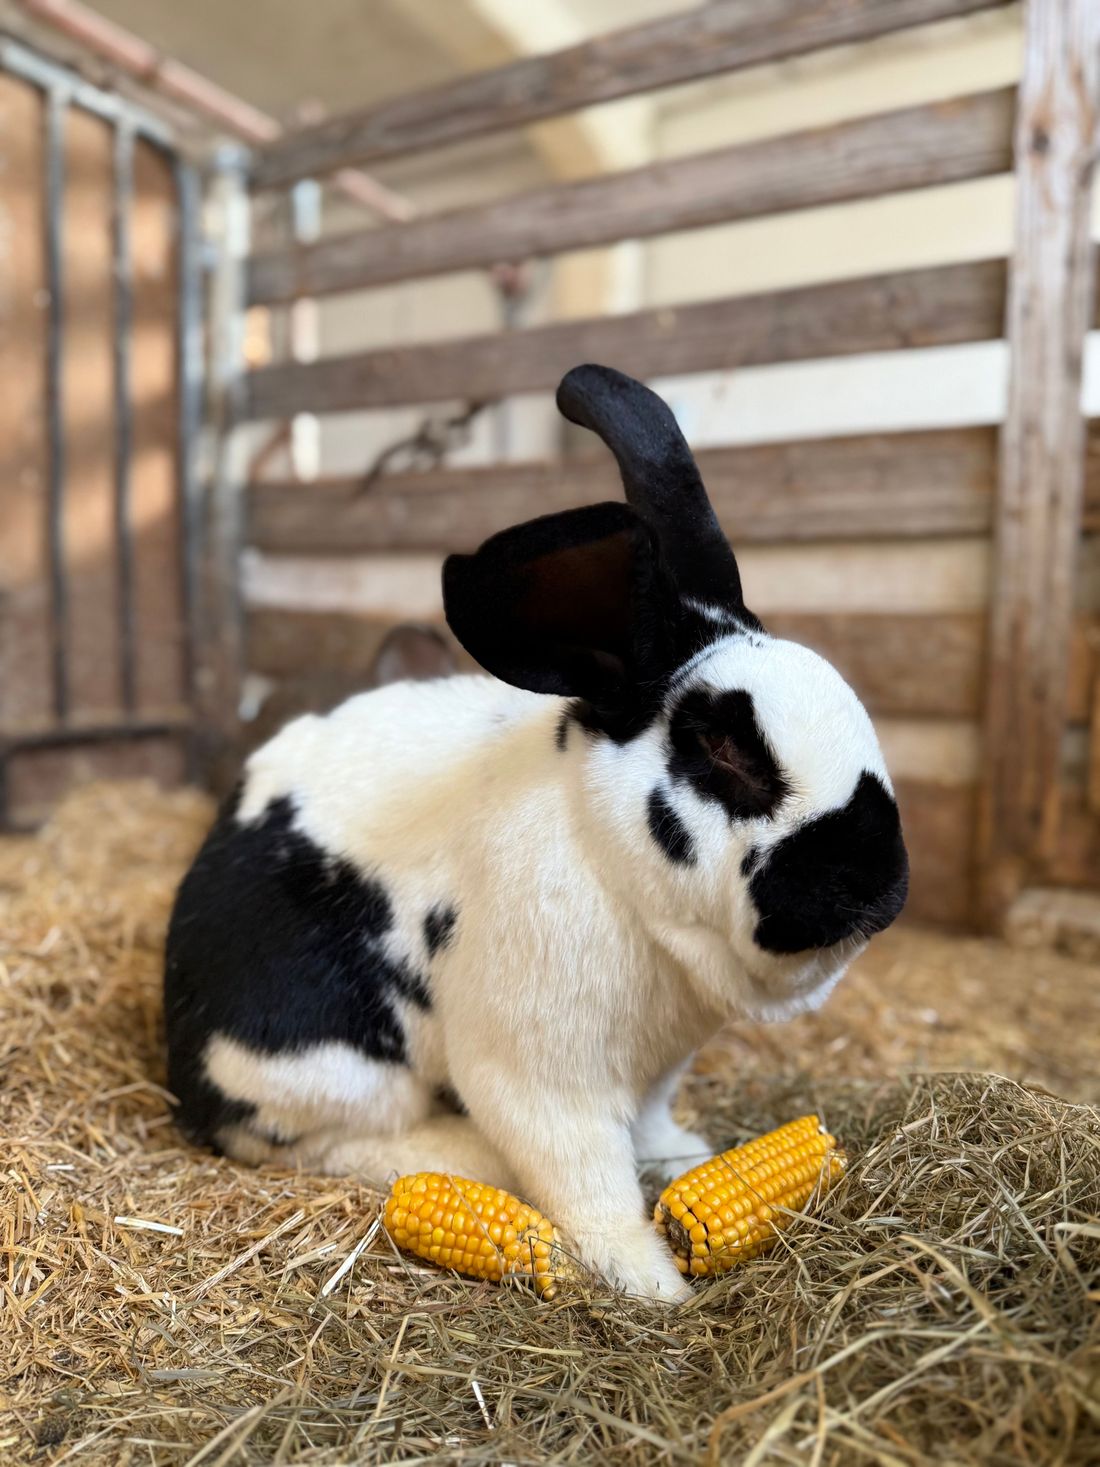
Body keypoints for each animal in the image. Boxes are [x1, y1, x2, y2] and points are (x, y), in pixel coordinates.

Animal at [164, 363, 908, 1304]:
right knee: (323, 1138)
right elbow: (582, 1175)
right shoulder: (541, 1075)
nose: (879, 880)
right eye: (726, 749)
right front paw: (651, 1280)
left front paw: (680, 1159)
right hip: (322, 1060)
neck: (611, 863)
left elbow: (647, 1125)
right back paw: (462, 1152)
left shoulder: (656, 1068)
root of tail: (185, 1062)